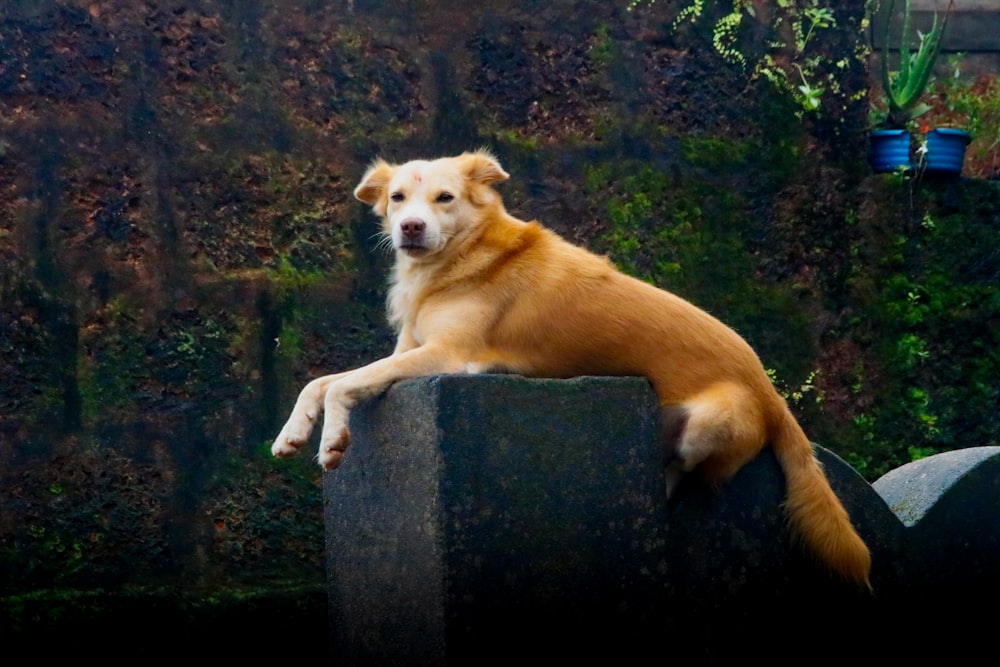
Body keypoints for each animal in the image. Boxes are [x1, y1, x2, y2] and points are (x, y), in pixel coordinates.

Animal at [270, 150, 872, 588]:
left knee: (682, 474)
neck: (461, 259)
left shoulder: (448, 355)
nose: (411, 228)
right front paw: (293, 432)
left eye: (445, 198)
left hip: (707, 423)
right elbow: (321, 380)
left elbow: (345, 383)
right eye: (397, 198)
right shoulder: (405, 351)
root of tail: (771, 393)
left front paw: (333, 439)